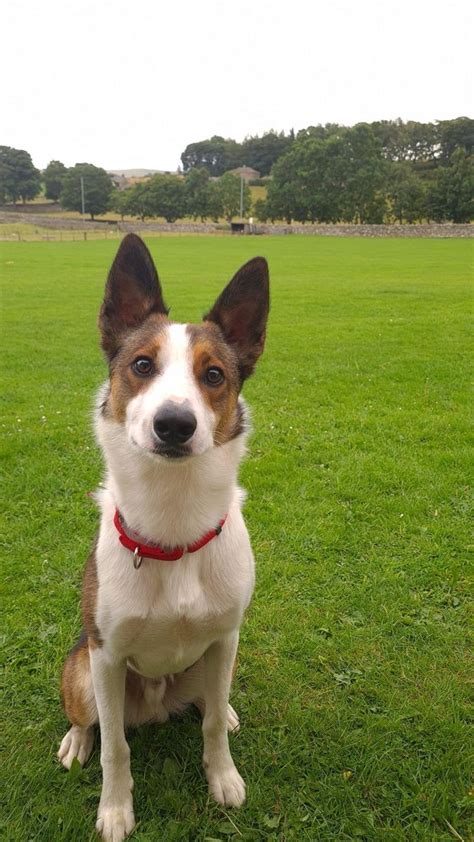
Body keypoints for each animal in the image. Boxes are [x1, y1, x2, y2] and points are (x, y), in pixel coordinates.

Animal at [56, 235, 270, 840]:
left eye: (214, 375)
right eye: (142, 365)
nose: (174, 424)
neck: (174, 530)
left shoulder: (226, 639)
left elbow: (212, 728)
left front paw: (223, 777)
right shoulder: (106, 657)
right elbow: (116, 748)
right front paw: (114, 810)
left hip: (209, 664)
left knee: (211, 704)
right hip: (81, 669)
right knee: (90, 720)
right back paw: (75, 741)